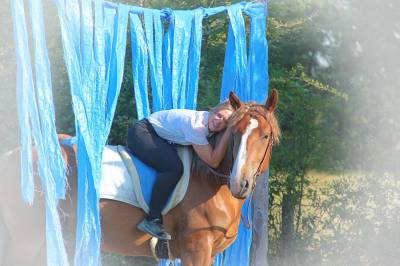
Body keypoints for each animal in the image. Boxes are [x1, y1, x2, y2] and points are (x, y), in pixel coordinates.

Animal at [0, 90, 280, 264]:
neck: (211, 180)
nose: (239, 183)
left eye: (265, 135)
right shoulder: (196, 250)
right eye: (234, 134)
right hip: (29, 241)